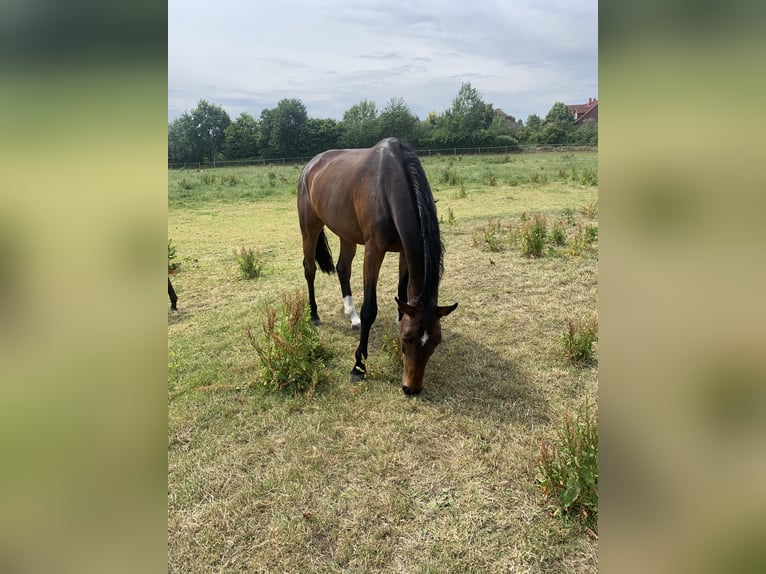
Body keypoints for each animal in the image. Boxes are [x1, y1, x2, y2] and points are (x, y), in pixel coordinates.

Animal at [298, 137, 456, 396]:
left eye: (436, 341)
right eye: (407, 339)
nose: (411, 388)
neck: (388, 186)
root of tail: (310, 166)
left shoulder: (404, 251)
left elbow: (403, 294)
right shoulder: (374, 250)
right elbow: (370, 308)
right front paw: (358, 366)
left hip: (346, 233)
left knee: (343, 269)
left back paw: (351, 317)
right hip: (310, 227)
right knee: (309, 269)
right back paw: (314, 315)